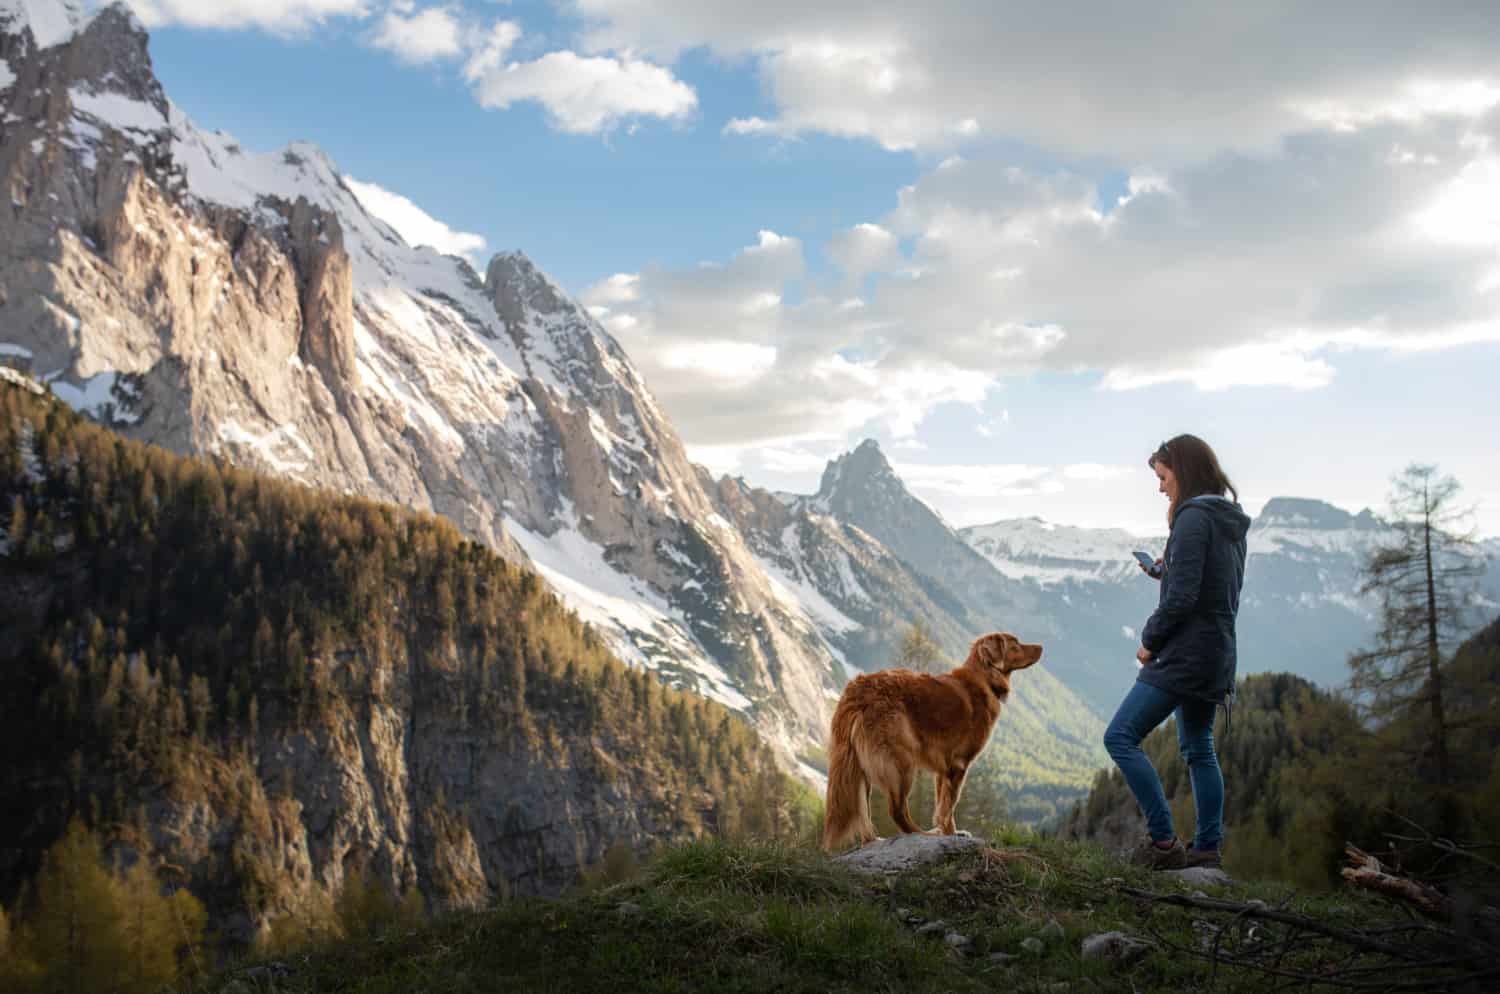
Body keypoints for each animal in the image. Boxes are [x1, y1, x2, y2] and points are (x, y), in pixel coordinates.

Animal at [822, 632, 1044, 851]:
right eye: (1015, 644)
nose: (1041, 647)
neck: (984, 677)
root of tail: (858, 691)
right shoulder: (959, 764)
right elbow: (950, 805)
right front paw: (950, 833)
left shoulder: (943, 769)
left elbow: (942, 804)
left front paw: (950, 832)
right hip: (901, 762)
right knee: (897, 810)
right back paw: (924, 834)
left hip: (859, 765)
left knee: (863, 810)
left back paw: (874, 840)